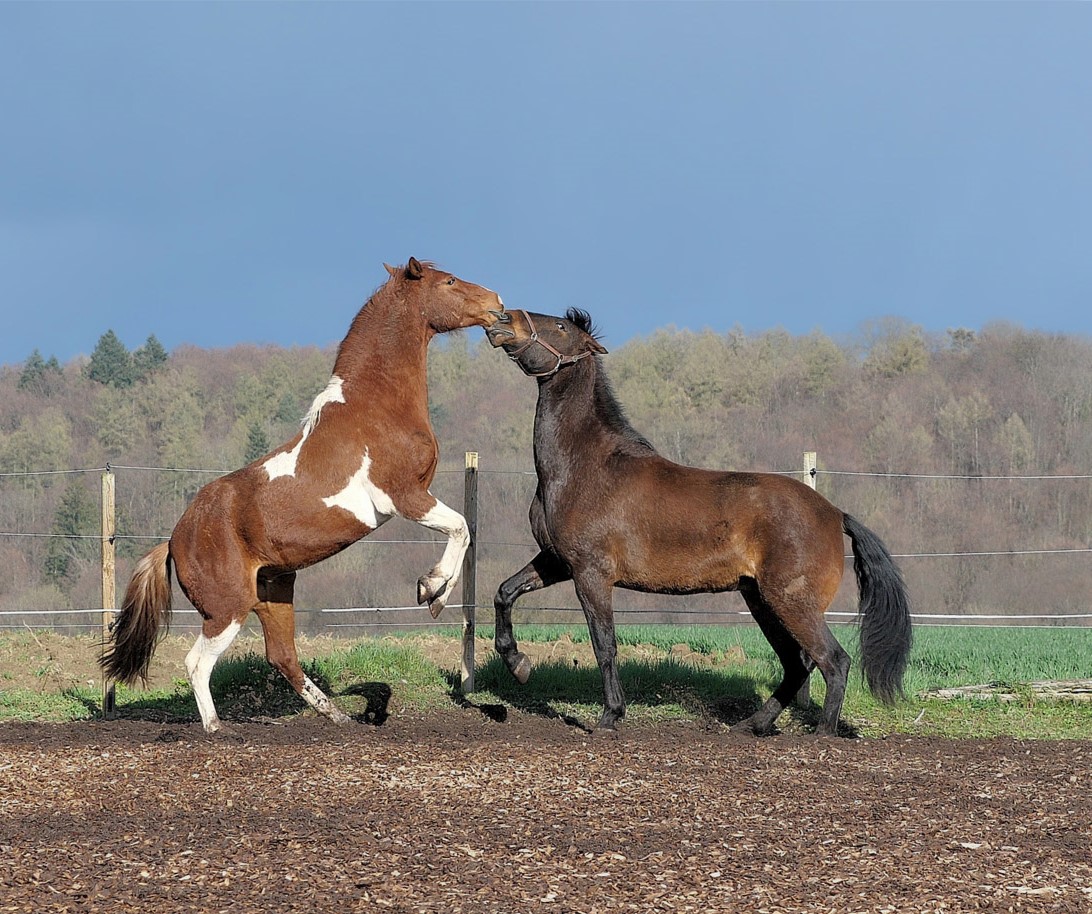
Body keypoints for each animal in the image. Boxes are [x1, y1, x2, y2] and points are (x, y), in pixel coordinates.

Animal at [102, 259, 502, 729]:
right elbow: (461, 528)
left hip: (275, 593)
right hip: (228, 608)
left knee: (282, 657)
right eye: (450, 281)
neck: (375, 406)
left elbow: (462, 530)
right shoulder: (404, 495)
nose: (496, 303)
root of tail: (174, 539)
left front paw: (433, 593)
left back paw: (337, 716)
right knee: (197, 662)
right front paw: (432, 591)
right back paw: (216, 726)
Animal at [487, 305, 912, 733]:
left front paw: (610, 716)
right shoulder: (559, 561)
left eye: (559, 326)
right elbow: (505, 593)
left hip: (793, 602)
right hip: (761, 600)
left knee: (833, 661)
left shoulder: (591, 573)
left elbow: (604, 644)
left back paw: (821, 733)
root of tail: (834, 513)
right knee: (798, 664)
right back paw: (752, 725)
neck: (584, 467)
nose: (502, 319)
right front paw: (518, 664)